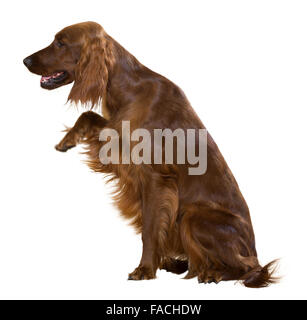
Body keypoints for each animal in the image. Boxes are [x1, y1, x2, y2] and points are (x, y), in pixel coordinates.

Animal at [24, 21, 278, 288]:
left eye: (60, 42)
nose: (25, 60)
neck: (127, 87)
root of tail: (254, 250)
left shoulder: (156, 179)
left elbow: (149, 229)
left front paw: (145, 269)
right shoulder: (120, 141)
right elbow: (88, 115)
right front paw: (67, 140)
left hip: (193, 217)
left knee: (247, 268)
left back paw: (213, 273)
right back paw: (181, 264)